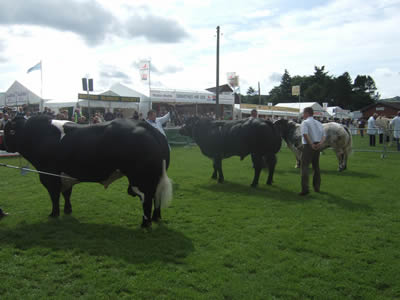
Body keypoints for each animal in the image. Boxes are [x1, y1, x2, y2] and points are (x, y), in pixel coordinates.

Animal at [3, 115, 172, 227]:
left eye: (7, 131)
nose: (3, 144)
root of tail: (146, 126)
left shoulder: (49, 176)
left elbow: (54, 196)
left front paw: (54, 214)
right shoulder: (65, 176)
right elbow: (66, 194)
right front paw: (67, 210)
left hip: (141, 180)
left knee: (147, 199)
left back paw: (145, 224)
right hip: (155, 177)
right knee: (156, 197)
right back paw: (156, 218)